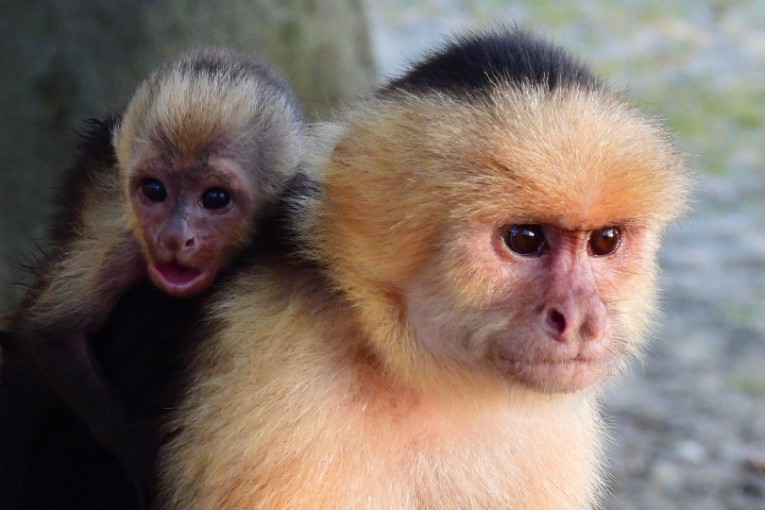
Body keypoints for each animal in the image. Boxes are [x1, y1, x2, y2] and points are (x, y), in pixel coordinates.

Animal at [2, 46, 308, 506]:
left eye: (215, 198)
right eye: (154, 191)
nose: (174, 237)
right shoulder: (123, 232)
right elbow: (52, 331)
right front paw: (140, 454)